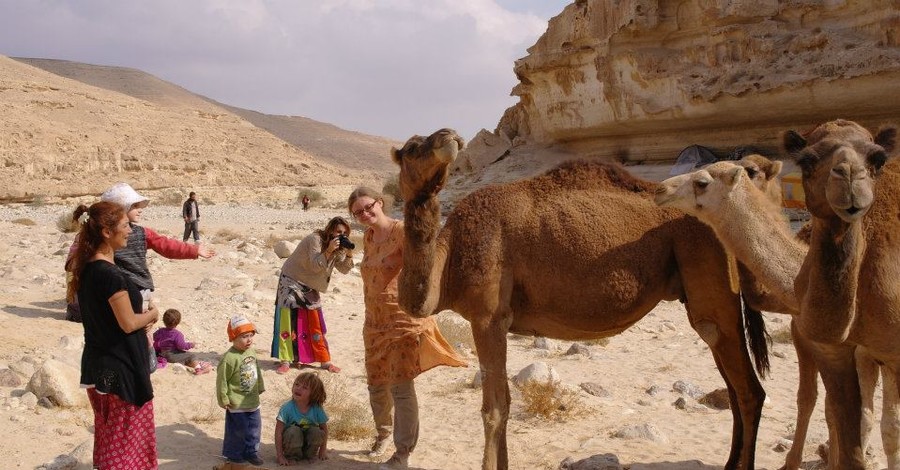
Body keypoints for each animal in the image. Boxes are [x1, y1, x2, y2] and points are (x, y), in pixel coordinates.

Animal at [390, 127, 768, 470]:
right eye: (411, 148)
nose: (448, 136)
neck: (450, 256)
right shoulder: (497, 321)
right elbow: (506, 403)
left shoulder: (487, 317)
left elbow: (494, 408)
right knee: (733, 385)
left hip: (711, 283)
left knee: (748, 388)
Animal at [652, 156, 900, 468]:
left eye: (702, 182)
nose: (661, 189)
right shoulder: (836, 346)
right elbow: (836, 413)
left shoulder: (889, 352)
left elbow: (888, 427)